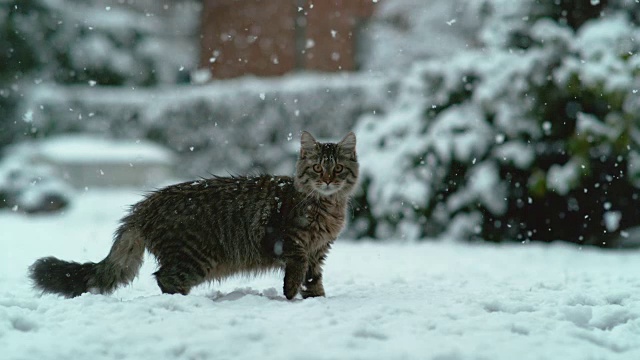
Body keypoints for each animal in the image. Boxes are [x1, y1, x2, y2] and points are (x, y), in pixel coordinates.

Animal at [28, 131, 360, 300]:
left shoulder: (319, 250)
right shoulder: (285, 239)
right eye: (317, 168)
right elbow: (297, 267)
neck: (328, 208)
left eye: (337, 168)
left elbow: (313, 277)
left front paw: (316, 298)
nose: (327, 180)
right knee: (164, 278)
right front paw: (291, 294)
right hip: (195, 258)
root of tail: (145, 205)